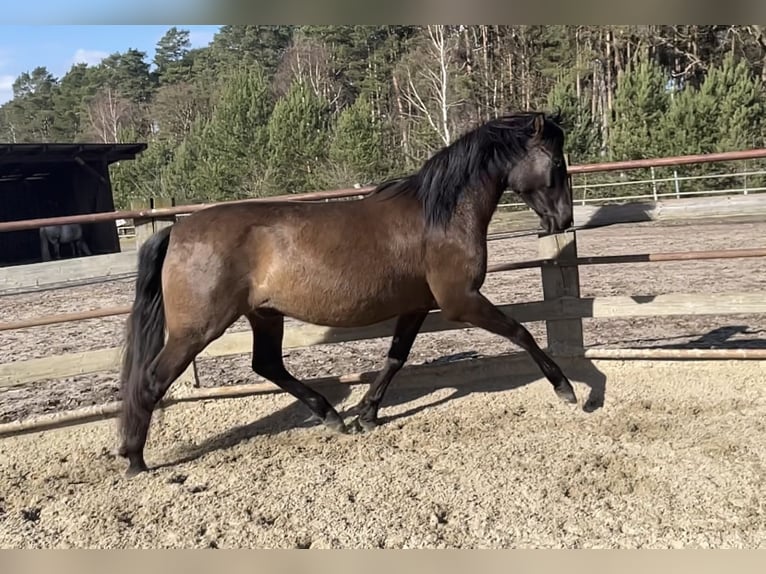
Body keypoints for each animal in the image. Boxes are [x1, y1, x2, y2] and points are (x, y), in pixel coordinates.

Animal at [118, 110, 576, 477]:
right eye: (556, 161)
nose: (564, 220)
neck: (440, 217)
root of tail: (177, 229)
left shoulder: (417, 305)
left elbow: (395, 358)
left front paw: (367, 415)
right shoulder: (460, 301)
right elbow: (521, 332)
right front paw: (566, 389)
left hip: (264, 314)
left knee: (267, 364)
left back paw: (333, 417)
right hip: (197, 329)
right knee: (152, 380)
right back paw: (135, 460)